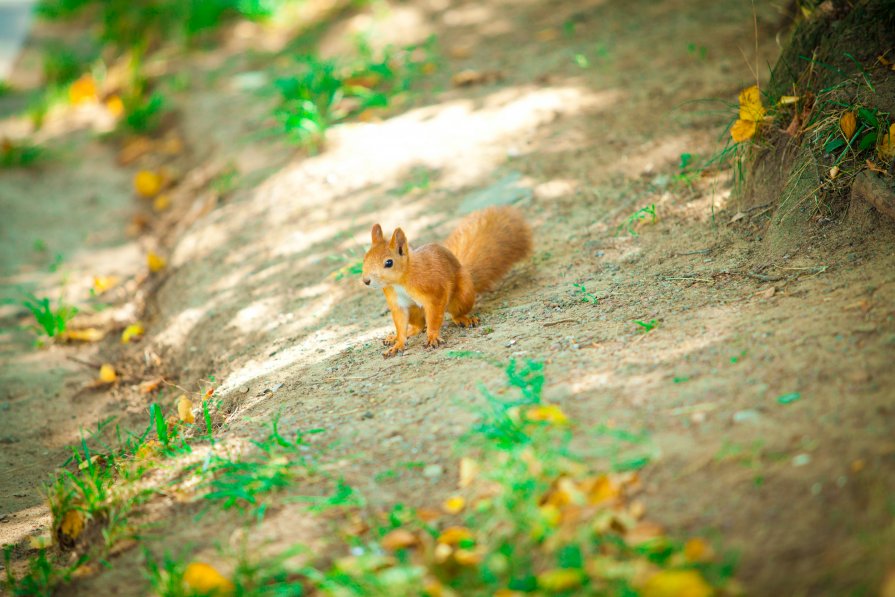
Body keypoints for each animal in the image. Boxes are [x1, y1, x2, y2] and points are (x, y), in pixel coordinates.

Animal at [362, 205, 532, 356]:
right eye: (364, 258)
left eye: (389, 262)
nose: (366, 281)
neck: (401, 281)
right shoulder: (397, 303)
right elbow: (400, 324)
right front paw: (398, 344)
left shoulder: (434, 293)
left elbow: (434, 318)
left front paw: (432, 337)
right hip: (415, 311)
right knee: (418, 326)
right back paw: (395, 337)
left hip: (462, 296)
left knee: (454, 313)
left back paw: (464, 319)